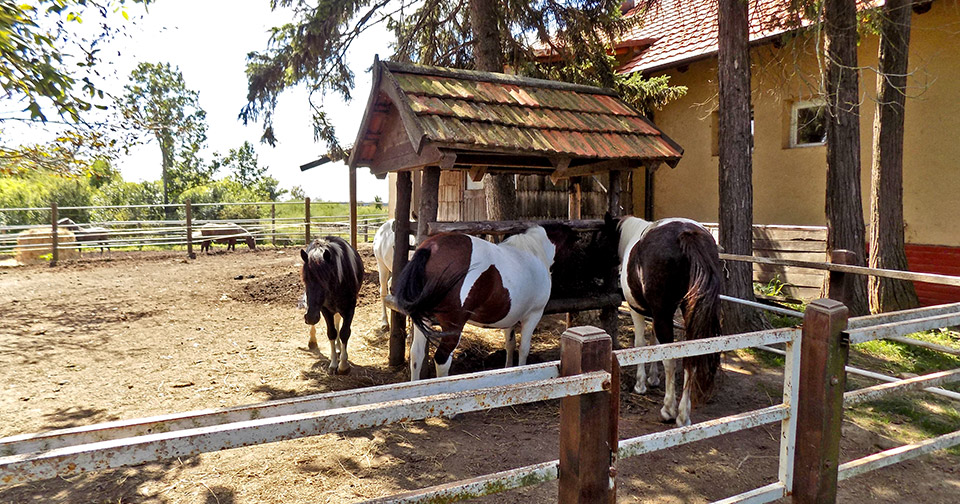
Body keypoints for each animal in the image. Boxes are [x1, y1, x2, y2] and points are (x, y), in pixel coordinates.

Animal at [300, 236, 364, 374]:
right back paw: (313, 341)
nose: (310, 317)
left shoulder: (350, 308)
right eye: (305, 279)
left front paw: (343, 365)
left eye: (326, 279)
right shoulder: (325, 309)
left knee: (338, 321)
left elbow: (345, 332)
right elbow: (331, 333)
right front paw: (334, 363)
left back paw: (339, 348)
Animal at [392, 225, 572, 382]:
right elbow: (524, 349)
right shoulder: (533, 315)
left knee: (416, 355)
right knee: (442, 360)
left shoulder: (509, 318)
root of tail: (430, 248)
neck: (534, 252)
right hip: (453, 326)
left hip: (424, 319)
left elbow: (510, 344)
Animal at [612, 215, 724, 428]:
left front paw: (641, 384)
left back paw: (669, 411)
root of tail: (686, 233)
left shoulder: (637, 310)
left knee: (670, 360)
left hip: (663, 314)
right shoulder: (656, 315)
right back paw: (683, 415)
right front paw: (653, 378)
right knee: (690, 359)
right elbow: (653, 342)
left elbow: (641, 344)